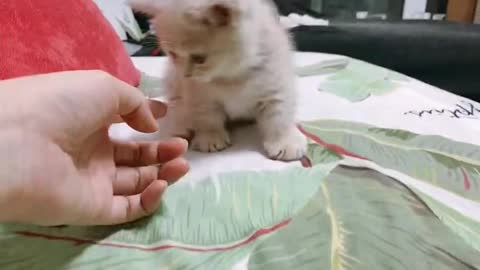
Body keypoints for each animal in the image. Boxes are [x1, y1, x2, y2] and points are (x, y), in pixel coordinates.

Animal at [129, 0, 306, 160]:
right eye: (172, 54)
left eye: (200, 59)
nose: (186, 75)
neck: (231, 76)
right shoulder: (198, 94)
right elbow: (207, 117)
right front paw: (210, 137)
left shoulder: (276, 85)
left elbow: (279, 116)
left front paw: (285, 142)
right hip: (173, 81)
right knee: (177, 107)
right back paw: (183, 126)